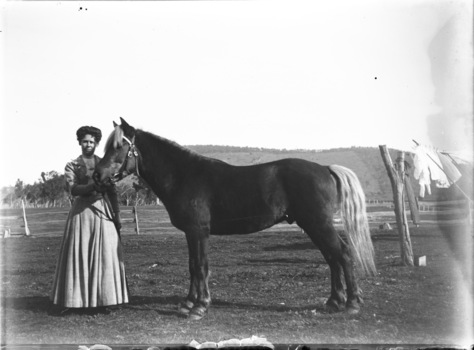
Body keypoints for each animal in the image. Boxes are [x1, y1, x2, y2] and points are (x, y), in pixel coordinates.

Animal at [94, 119, 376, 322]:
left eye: (118, 146)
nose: (97, 174)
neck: (184, 175)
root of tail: (325, 168)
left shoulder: (199, 232)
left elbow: (200, 267)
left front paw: (199, 307)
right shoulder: (191, 233)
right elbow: (192, 266)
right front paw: (188, 303)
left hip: (318, 224)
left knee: (342, 255)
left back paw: (351, 304)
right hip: (313, 226)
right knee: (333, 258)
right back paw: (333, 302)